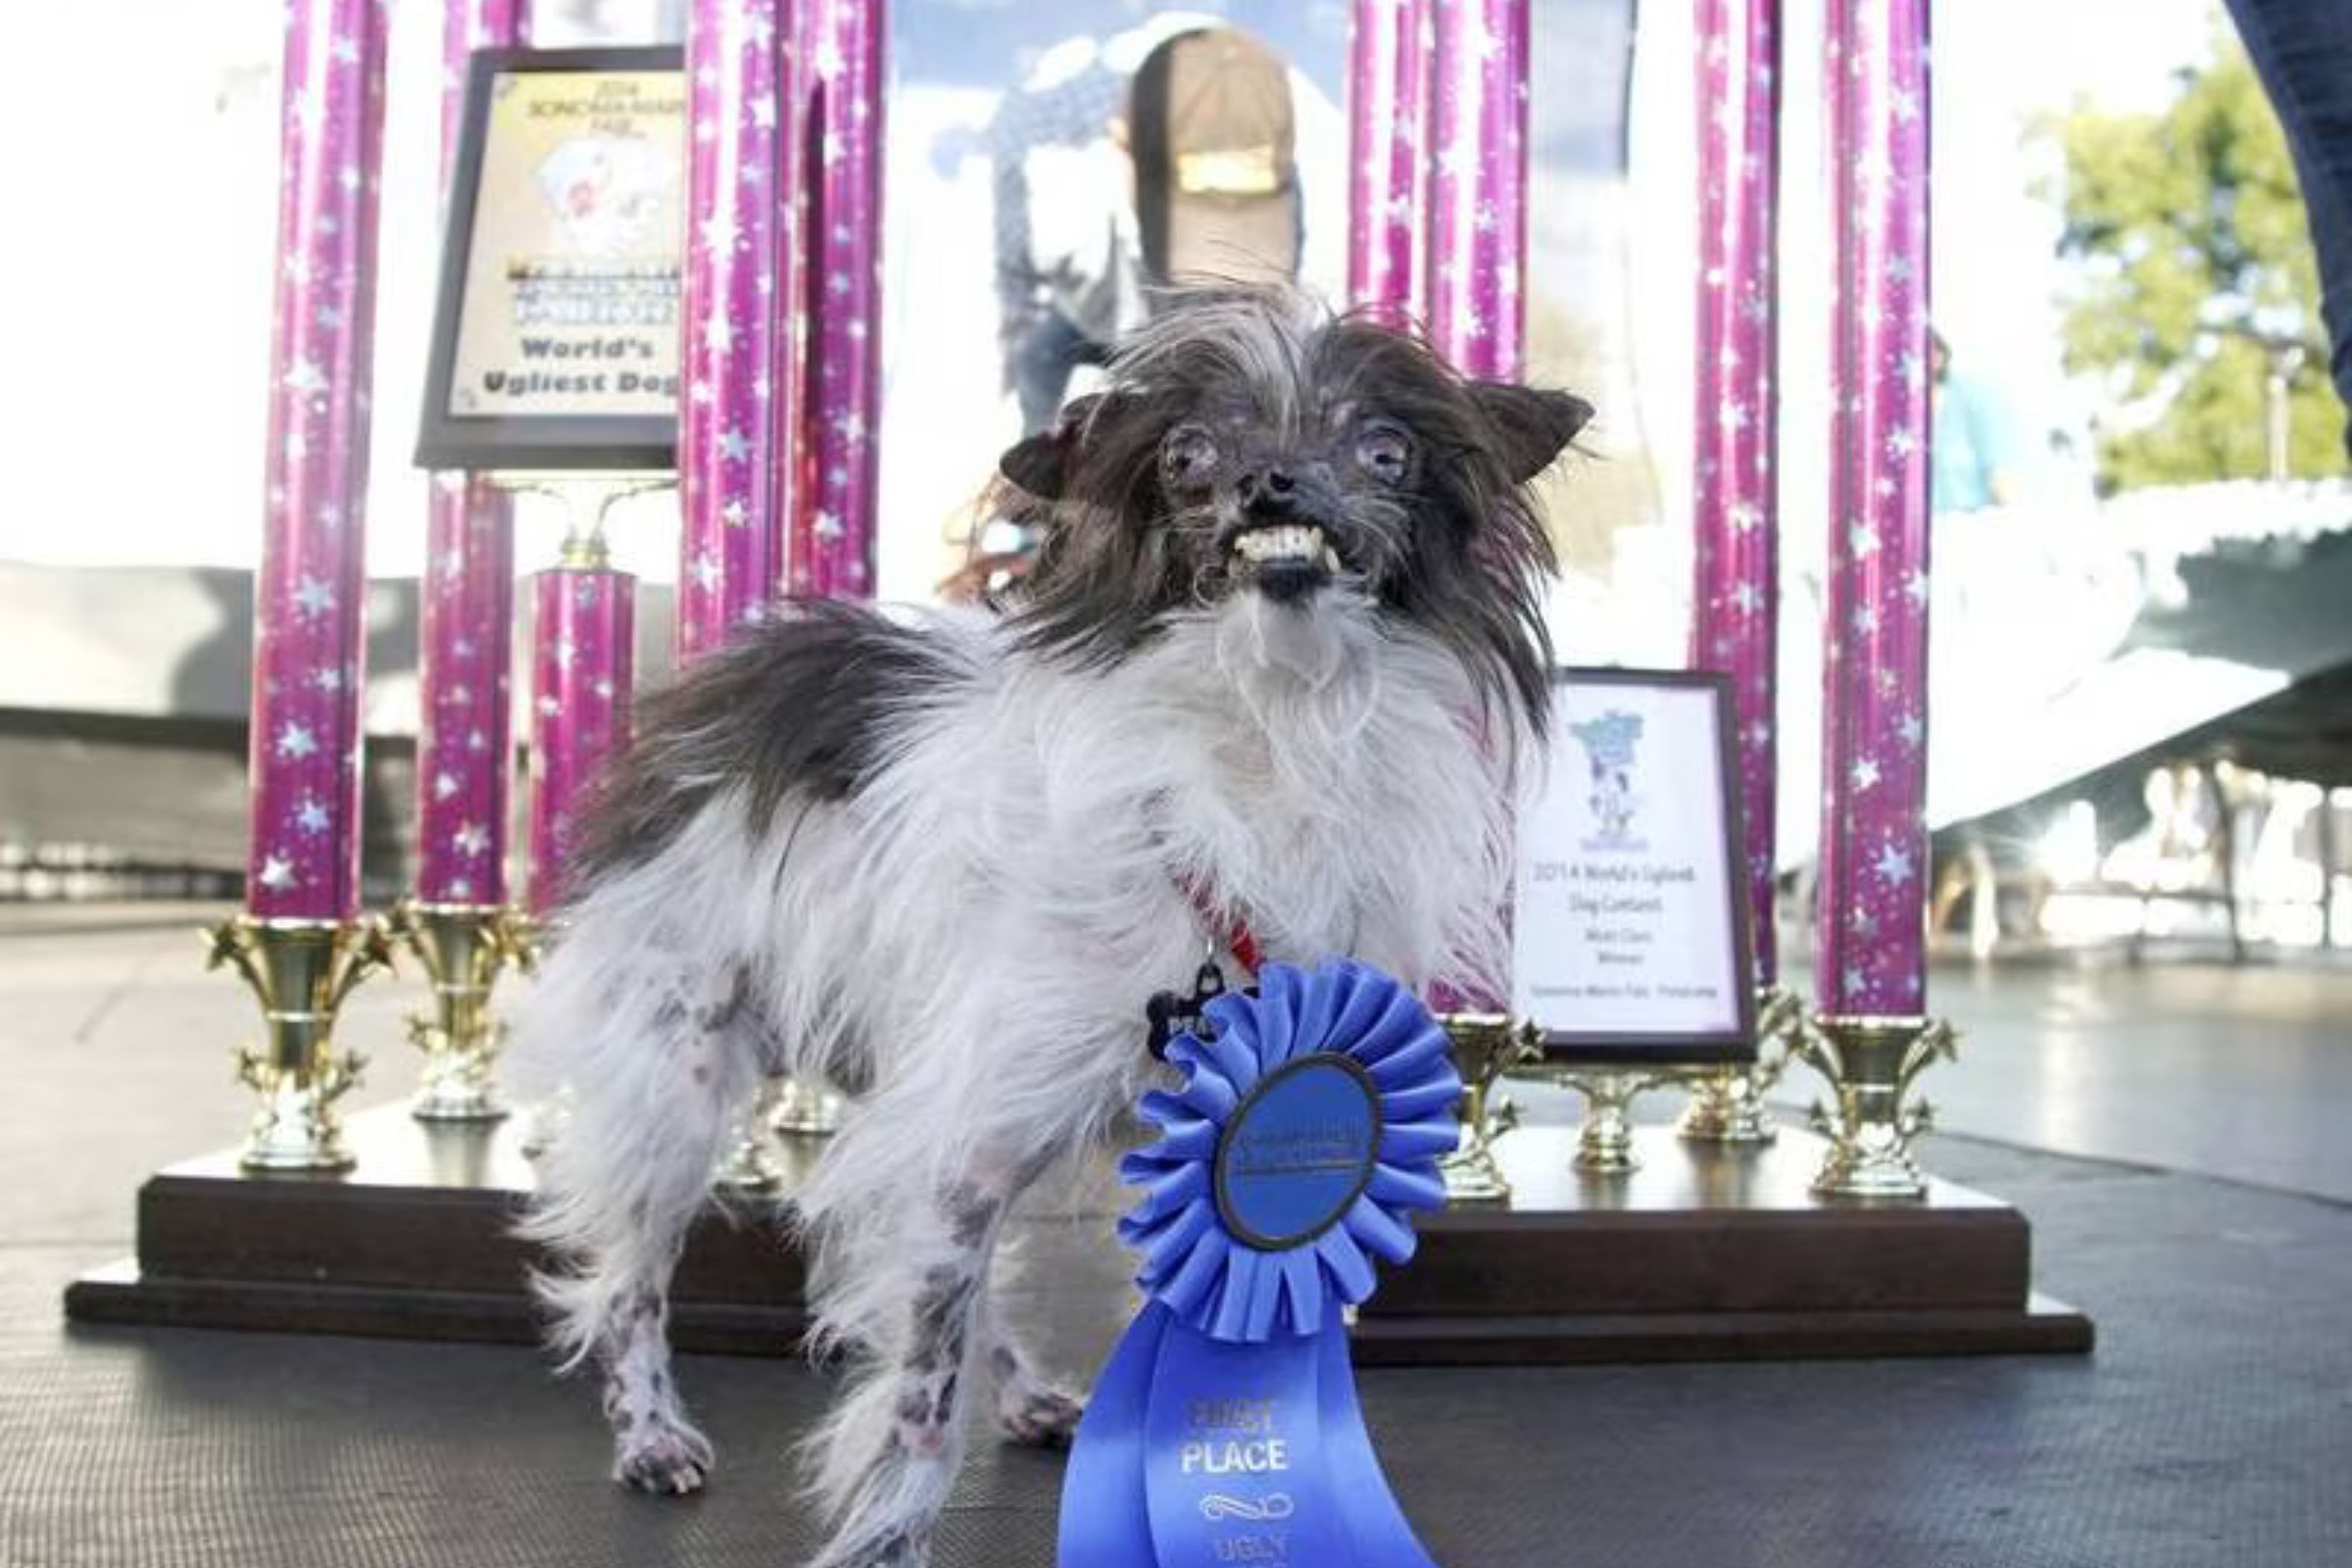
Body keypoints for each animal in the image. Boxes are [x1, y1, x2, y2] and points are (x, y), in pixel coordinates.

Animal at [514, 287, 1580, 1568]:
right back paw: (651, 1433)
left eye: (1385, 450)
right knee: (630, 1274)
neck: (1269, 729)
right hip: (678, 1079)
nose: (1271, 482)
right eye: (1187, 456)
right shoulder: (959, 1142)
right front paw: (884, 1539)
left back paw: (1020, 1393)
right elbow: (918, 1392)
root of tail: (717, 690)